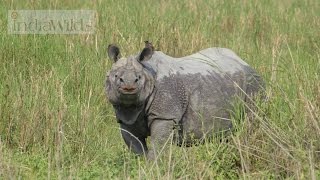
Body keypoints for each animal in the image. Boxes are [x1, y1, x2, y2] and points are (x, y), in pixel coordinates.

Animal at [106, 41, 264, 160]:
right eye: (116, 76)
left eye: (138, 78)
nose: (128, 86)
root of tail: (245, 62)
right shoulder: (125, 117)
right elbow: (136, 148)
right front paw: (141, 166)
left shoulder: (165, 115)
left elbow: (158, 146)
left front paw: (153, 168)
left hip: (253, 84)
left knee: (251, 122)